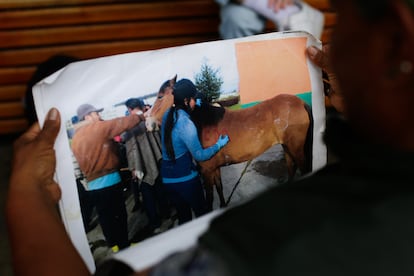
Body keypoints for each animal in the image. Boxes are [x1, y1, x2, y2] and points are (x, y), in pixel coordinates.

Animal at [147, 76, 312, 210]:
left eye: (160, 96)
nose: (148, 124)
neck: (203, 122)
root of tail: (300, 102)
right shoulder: (214, 168)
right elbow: (219, 188)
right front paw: (222, 205)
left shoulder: (207, 171)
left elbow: (209, 199)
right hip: (287, 147)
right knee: (291, 167)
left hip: (296, 148)